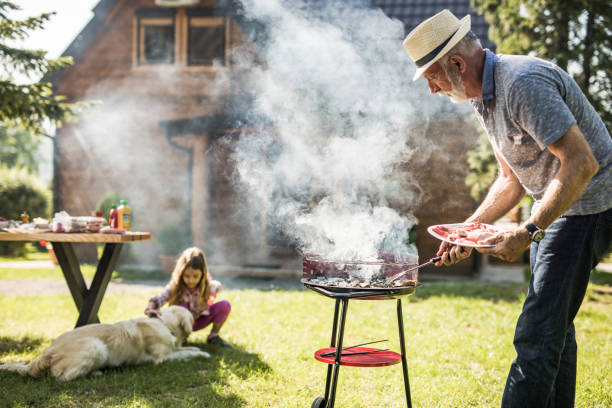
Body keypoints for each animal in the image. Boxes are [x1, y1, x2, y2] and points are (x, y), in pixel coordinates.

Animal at [0, 304, 210, 380]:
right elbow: (188, 352)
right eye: (192, 316)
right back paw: (96, 373)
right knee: (62, 377)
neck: (164, 324)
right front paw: (203, 354)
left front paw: (200, 350)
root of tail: (47, 351)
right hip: (96, 347)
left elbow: (189, 347)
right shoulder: (162, 359)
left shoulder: (173, 350)